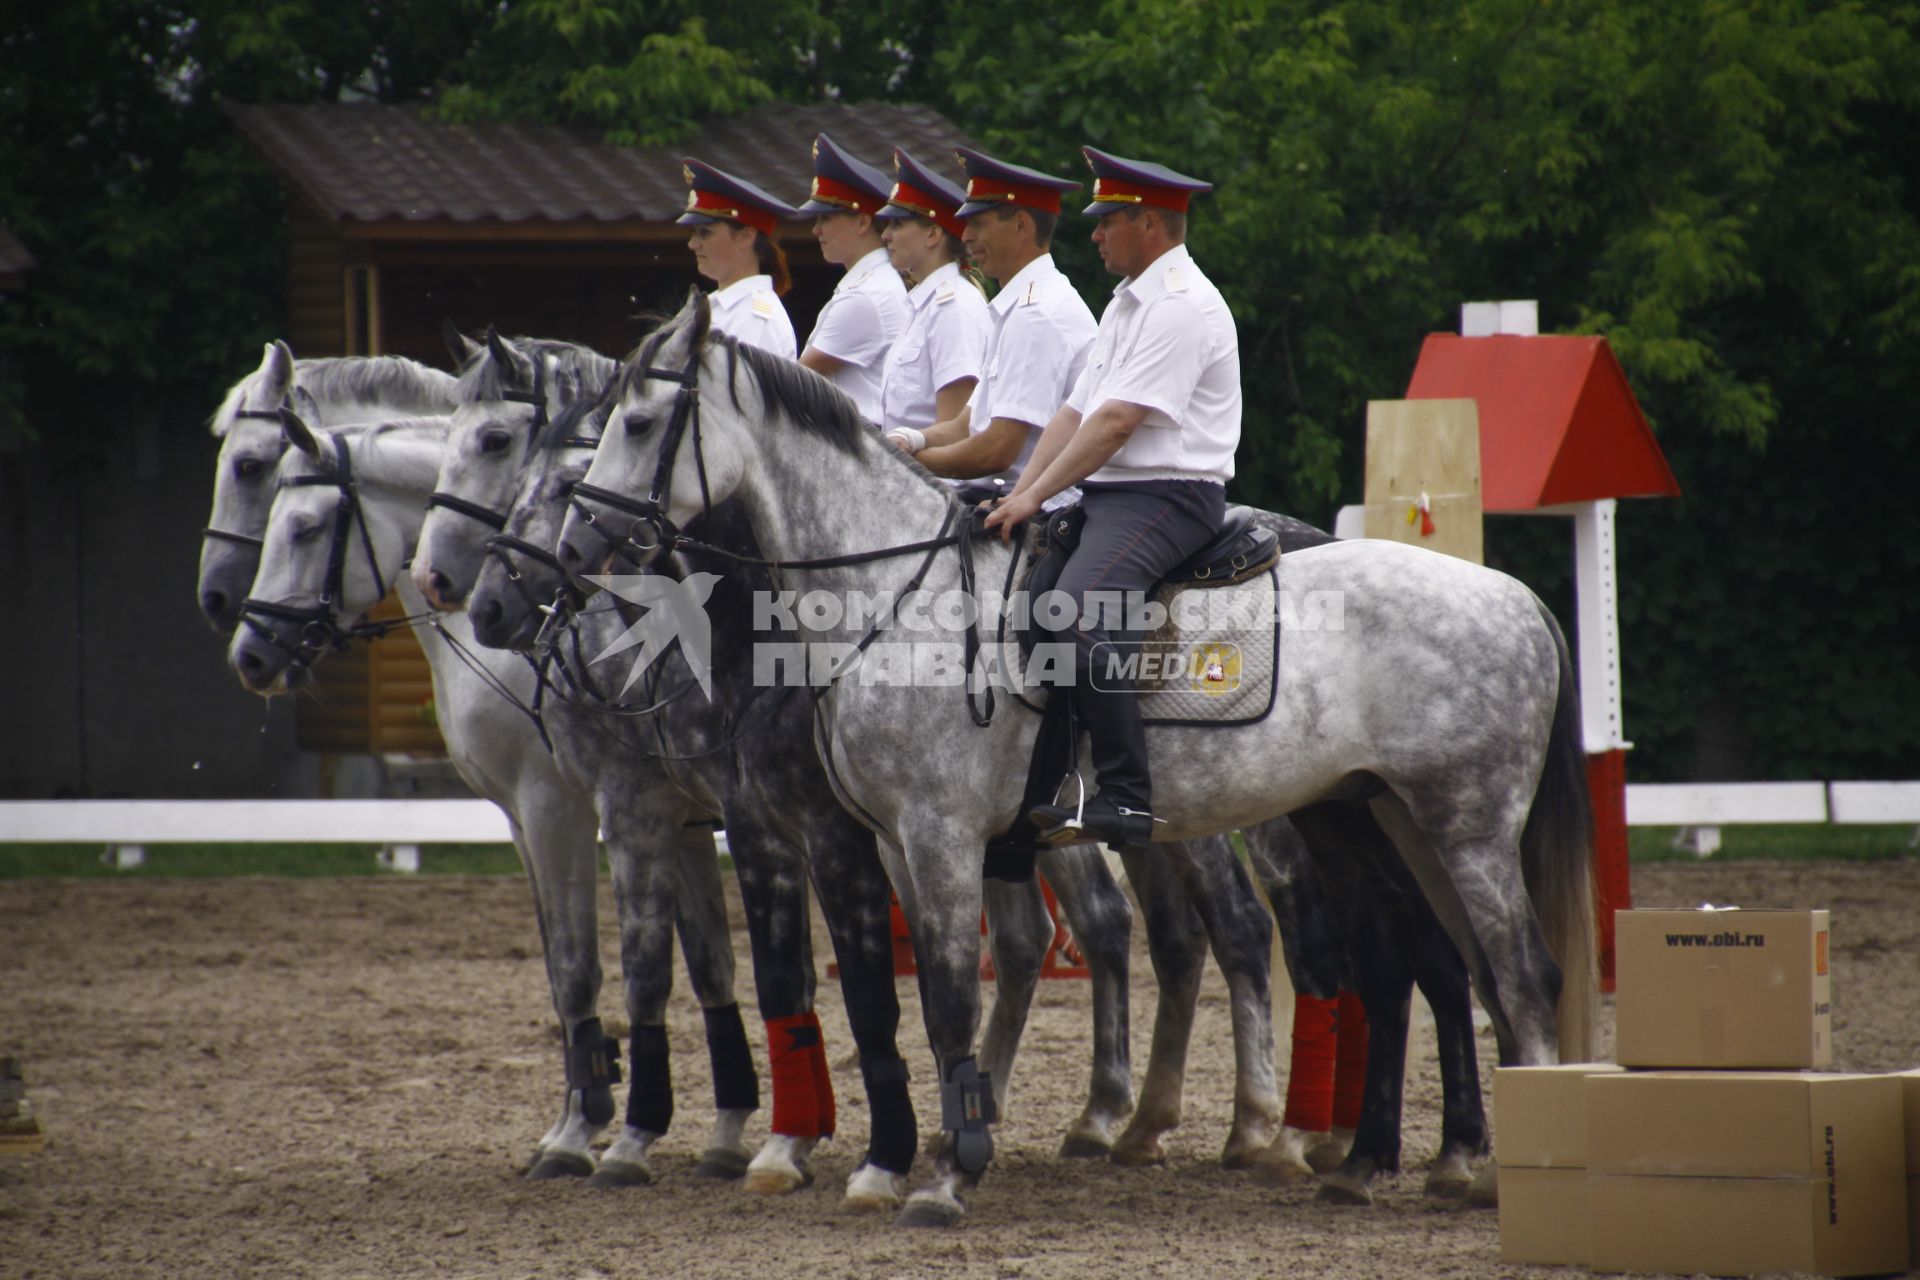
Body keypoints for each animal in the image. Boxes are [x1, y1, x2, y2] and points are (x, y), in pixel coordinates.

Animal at [552, 293, 1589, 1228]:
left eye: (638, 424)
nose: (572, 550)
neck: (896, 593)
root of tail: (1516, 598)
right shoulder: (890, 841)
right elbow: (915, 1008)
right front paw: (896, 1166)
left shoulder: (937, 838)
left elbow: (946, 1002)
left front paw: (944, 1178)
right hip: (1374, 817)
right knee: (1440, 967)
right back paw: (1414, 1166)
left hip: (1465, 828)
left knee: (1521, 974)